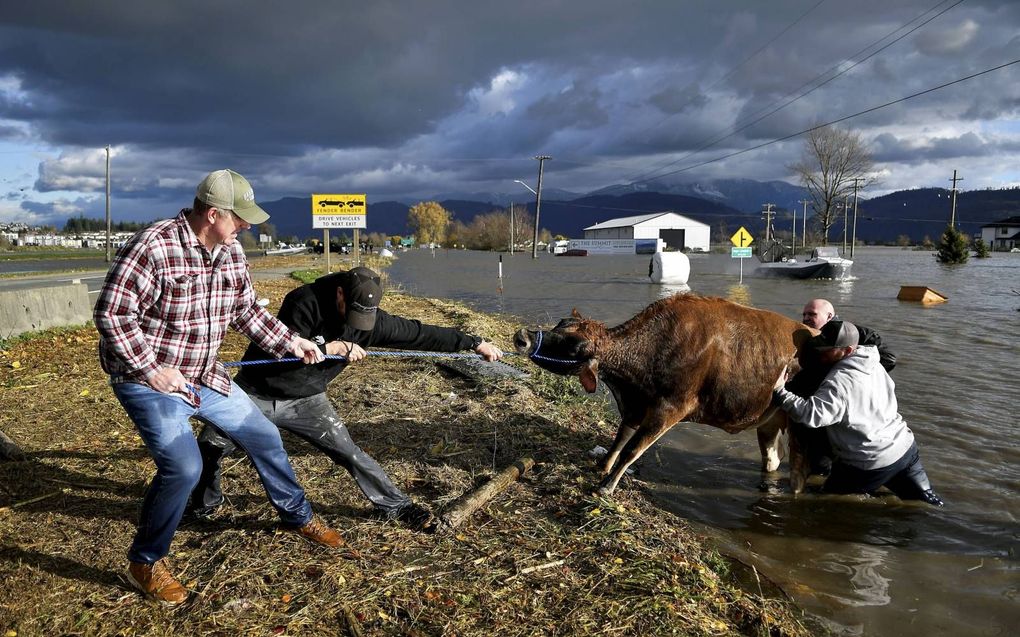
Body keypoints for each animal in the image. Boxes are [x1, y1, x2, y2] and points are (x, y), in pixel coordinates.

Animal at [514, 293, 816, 497]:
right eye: (560, 324)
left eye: (574, 347)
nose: (522, 336)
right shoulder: (635, 405)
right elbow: (619, 439)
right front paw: (602, 466)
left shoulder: (669, 408)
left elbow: (632, 449)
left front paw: (606, 486)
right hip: (769, 421)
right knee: (772, 459)